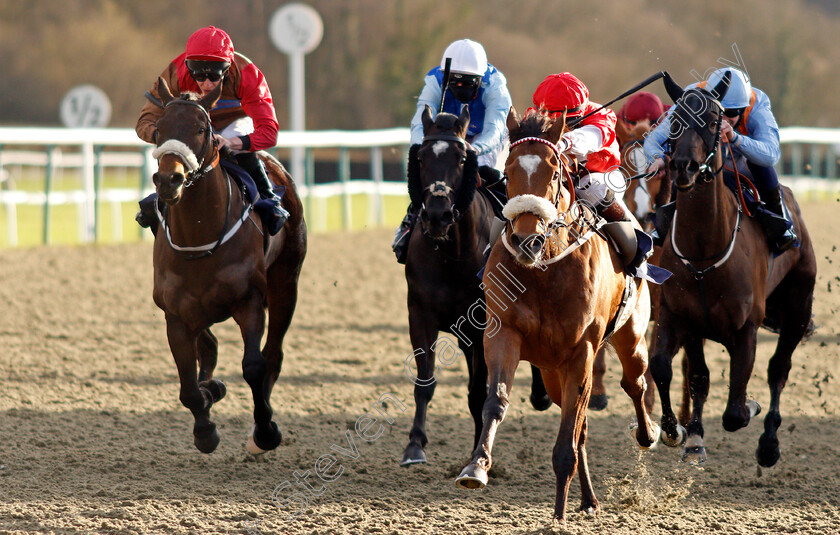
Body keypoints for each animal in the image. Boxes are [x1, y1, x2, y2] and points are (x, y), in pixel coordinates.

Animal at [149, 78, 306, 456]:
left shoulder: (249, 302)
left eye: (201, 129)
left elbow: (254, 366)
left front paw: (265, 431)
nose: (169, 180)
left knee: (273, 354)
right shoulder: (176, 315)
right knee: (209, 347)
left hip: (286, 283)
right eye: (159, 129)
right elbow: (188, 386)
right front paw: (205, 428)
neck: (200, 234)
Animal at [402, 103, 552, 464]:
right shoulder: (420, 314)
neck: (452, 255)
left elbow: (477, 391)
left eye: (460, 158)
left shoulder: (481, 325)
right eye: (421, 158)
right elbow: (425, 381)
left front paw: (476, 452)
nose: (437, 215)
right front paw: (414, 444)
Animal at [456, 109, 660, 524]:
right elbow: (496, 400)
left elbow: (568, 435)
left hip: (630, 336)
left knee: (634, 383)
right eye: (508, 170)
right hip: (551, 372)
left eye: (553, 172)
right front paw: (476, 467)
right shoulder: (504, 334)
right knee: (581, 423)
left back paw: (648, 435)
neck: (544, 269)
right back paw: (589, 498)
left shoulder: (581, 351)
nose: (526, 241)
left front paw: (558, 515)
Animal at [648, 73, 816, 466]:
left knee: (779, 369)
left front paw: (751, 408)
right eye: (674, 121)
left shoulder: (746, 330)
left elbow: (736, 411)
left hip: (798, 307)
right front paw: (680, 433)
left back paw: (769, 443)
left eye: (713, 121)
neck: (704, 255)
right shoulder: (679, 317)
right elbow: (672, 370)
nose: (682, 167)